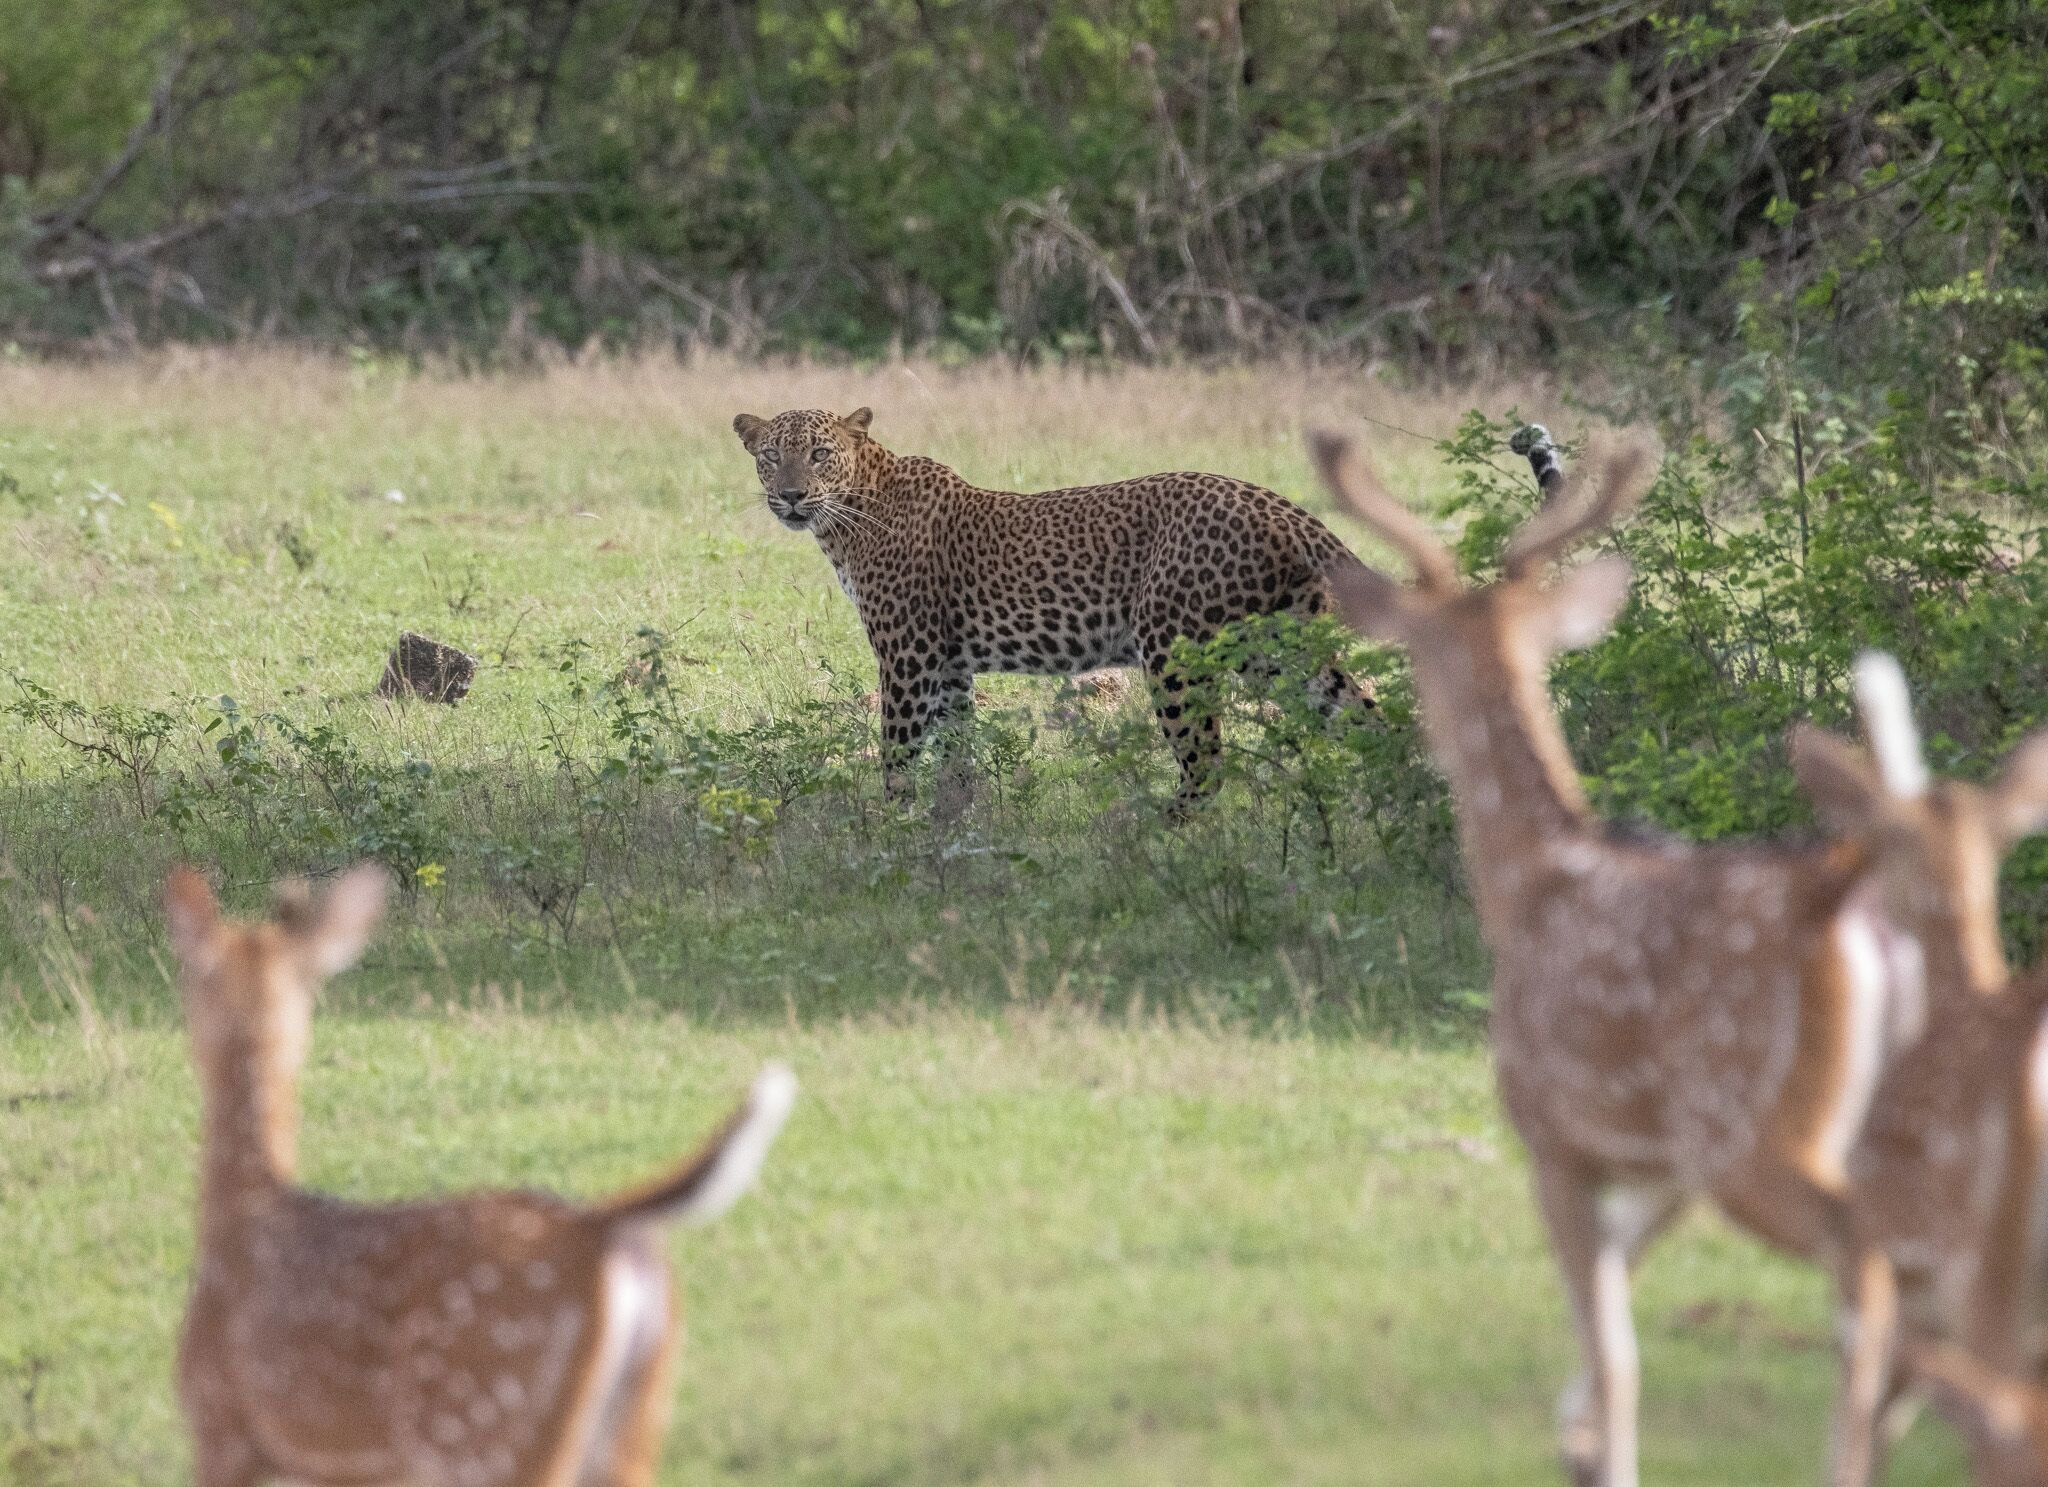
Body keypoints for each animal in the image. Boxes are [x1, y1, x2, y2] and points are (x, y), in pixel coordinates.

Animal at [732, 405, 1375, 801]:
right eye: (771, 455)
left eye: (819, 453)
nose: (791, 495)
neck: (850, 512)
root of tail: (1280, 505)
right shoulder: (951, 665)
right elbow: (959, 757)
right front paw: (954, 831)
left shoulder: (909, 657)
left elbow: (897, 754)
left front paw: (889, 833)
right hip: (1276, 649)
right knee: (1365, 716)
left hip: (1175, 651)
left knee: (1205, 763)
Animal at [1309, 429, 1908, 1487]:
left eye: (1412, 654)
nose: (1387, 715)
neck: (1531, 886)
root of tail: (1835, 895)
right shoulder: (1655, 1159)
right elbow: (1613, 1308)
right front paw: (1575, 1437)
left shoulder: (1553, 1131)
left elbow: (1615, 1343)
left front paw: (1601, 1449)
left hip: (1743, 1120)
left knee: (1863, 1262)